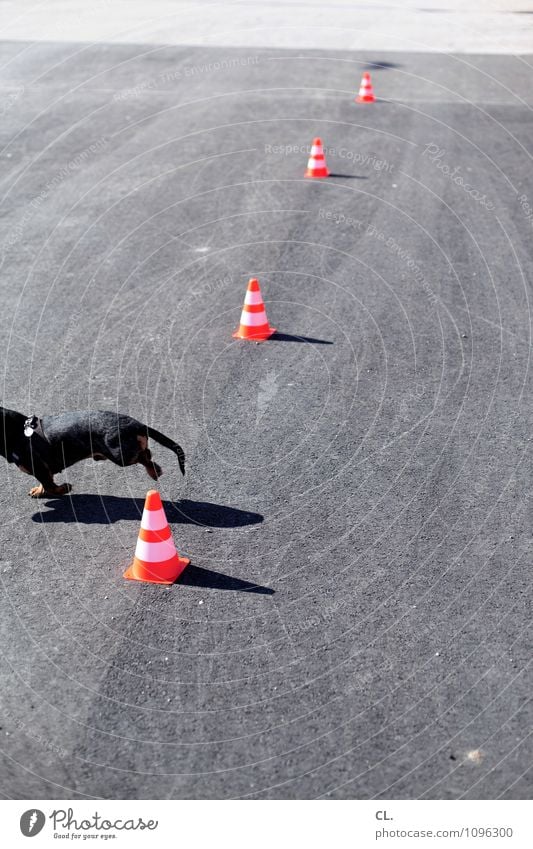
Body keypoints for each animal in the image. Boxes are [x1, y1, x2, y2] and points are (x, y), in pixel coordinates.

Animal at [0, 406, 185, 496]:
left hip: (120, 456)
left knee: (145, 456)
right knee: (146, 453)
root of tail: (138, 424)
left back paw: (154, 471)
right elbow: (46, 482)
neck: (18, 432)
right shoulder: (43, 470)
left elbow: (50, 485)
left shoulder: (39, 468)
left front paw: (62, 489)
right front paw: (39, 491)